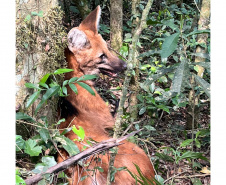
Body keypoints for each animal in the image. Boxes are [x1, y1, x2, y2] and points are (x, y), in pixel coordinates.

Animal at [57, 5, 155, 185]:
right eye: (101, 56)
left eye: (108, 50)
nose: (125, 66)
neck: (73, 75)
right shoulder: (107, 119)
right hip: (135, 151)